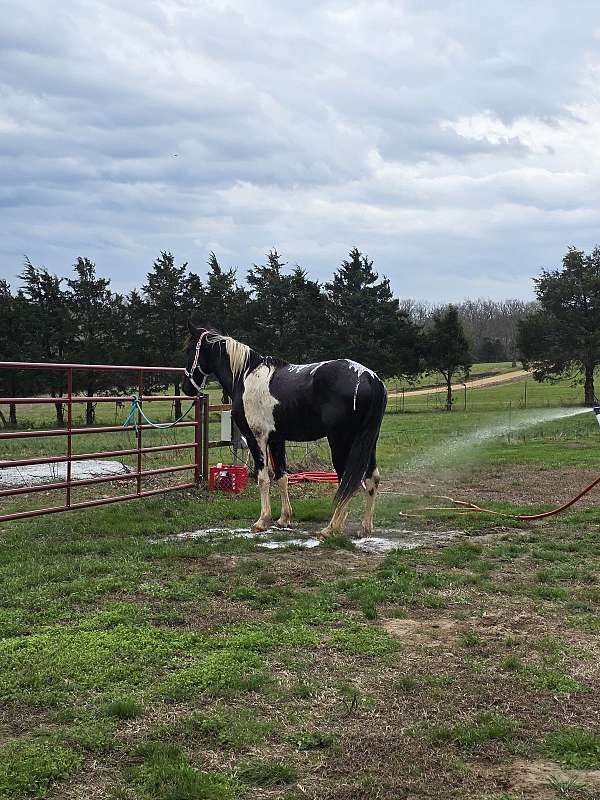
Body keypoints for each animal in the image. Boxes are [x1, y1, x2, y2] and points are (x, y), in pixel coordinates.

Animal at [182, 323, 387, 538]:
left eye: (189, 350)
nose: (185, 387)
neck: (245, 376)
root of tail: (369, 377)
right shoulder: (276, 439)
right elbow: (281, 477)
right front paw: (283, 519)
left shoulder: (257, 438)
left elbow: (263, 479)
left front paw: (262, 521)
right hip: (368, 441)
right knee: (372, 478)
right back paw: (365, 528)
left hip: (341, 442)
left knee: (346, 482)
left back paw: (331, 528)